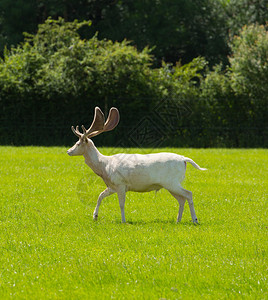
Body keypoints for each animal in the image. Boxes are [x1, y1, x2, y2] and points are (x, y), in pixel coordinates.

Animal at [68, 107, 206, 223]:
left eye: (78, 143)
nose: (69, 151)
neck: (105, 167)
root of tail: (184, 159)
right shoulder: (112, 186)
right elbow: (100, 195)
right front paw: (95, 216)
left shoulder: (120, 183)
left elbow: (121, 203)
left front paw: (123, 221)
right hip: (170, 184)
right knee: (181, 199)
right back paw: (178, 220)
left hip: (172, 182)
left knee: (188, 194)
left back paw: (195, 220)